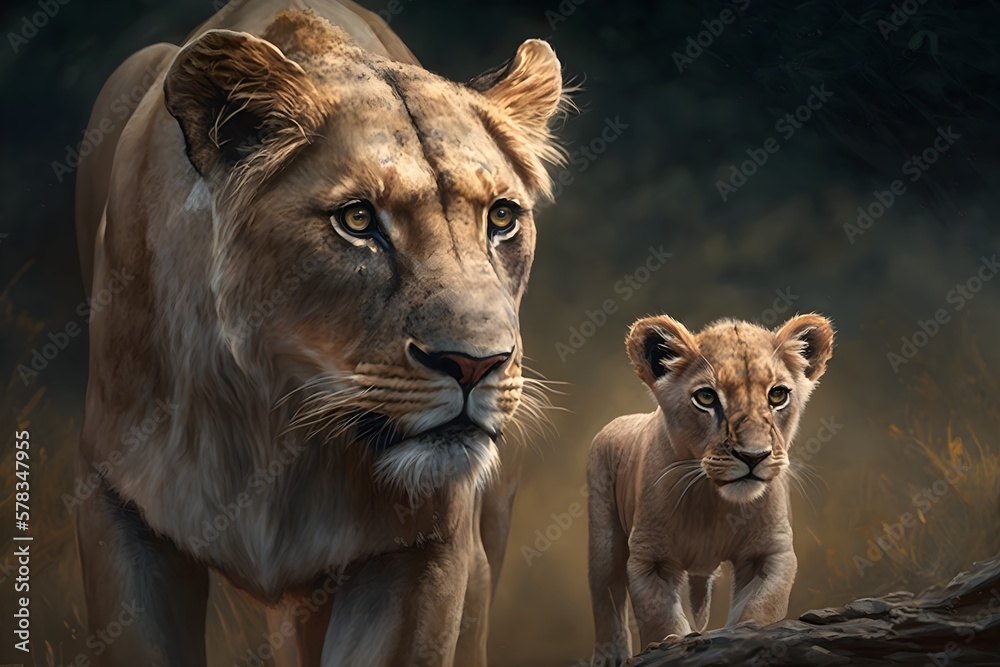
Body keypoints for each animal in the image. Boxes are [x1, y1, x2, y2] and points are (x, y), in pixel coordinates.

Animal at [73, 2, 567, 665]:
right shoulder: (117, 505)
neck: (276, 421)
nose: (476, 365)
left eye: (502, 217)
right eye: (357, 220)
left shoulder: (423, 540)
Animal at [587, 313, 834, 666]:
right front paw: (671, 644)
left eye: (777, 395)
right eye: (705, 398)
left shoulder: (771, 552)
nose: (753, 456)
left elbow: (760, 607)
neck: (713, 503)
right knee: (605, 592)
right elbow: (659, 615)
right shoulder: (650, 557)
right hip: (604, 534)